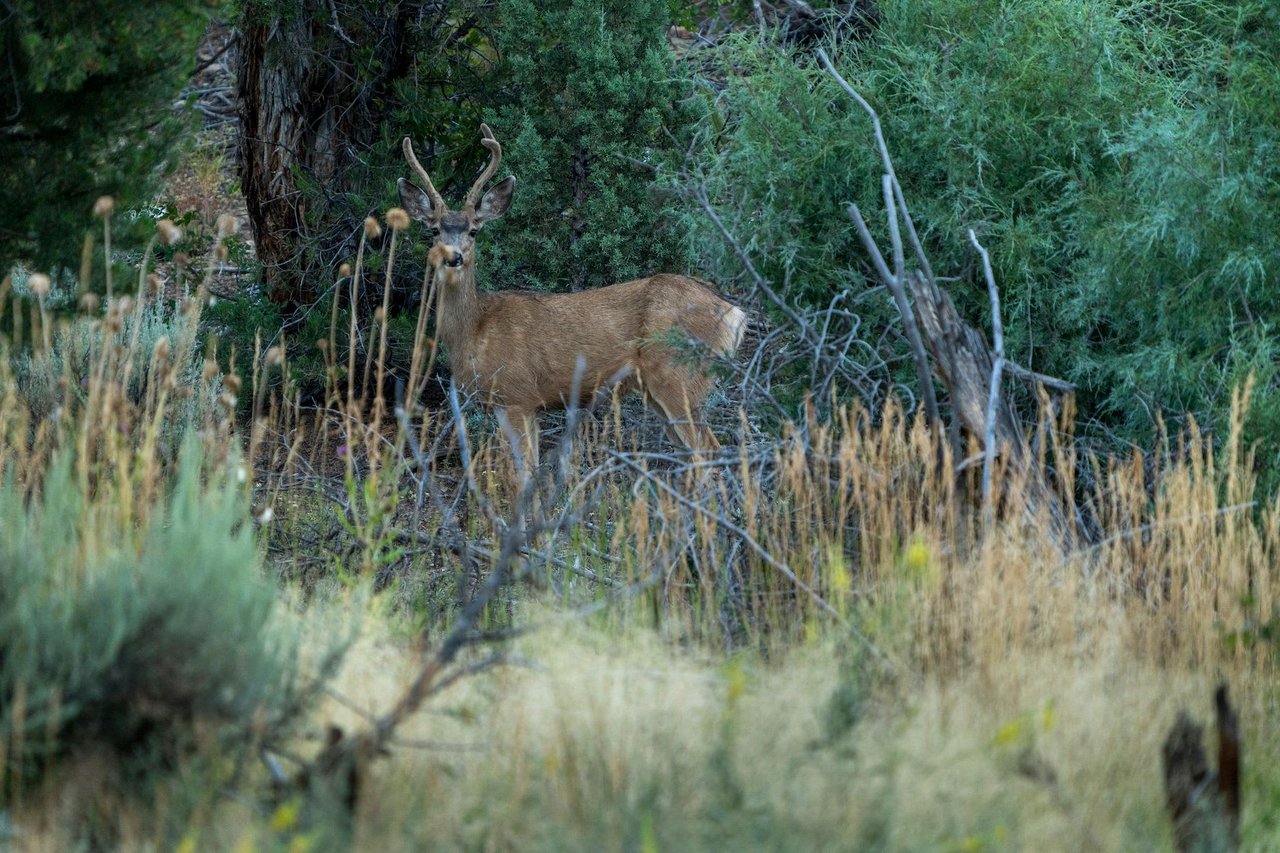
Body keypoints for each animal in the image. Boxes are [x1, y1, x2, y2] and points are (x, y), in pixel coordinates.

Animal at [394, 122, 747, 473]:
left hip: (679, 375)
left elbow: (525, 472)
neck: (474, 330)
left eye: (473, 230)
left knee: (709, 451)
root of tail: (733, 312)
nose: (453, 257)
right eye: (434, 230)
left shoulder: (516, 394)